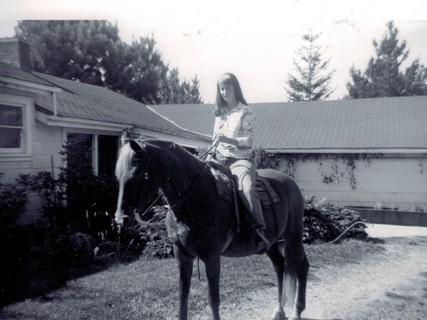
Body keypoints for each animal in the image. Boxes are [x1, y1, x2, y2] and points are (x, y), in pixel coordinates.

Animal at [114, 132, 310, 320]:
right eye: (118, 176)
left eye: (135, 175)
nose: (121, 219)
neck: (196, 196)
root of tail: (290, 183)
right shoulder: (182, 254)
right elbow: (183, 295)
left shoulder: (212, 256)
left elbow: (213, 299)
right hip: (270, 243)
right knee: (280, 265)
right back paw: (279, 310)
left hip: (293, 235)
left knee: (302, 265)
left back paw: (297, 311)